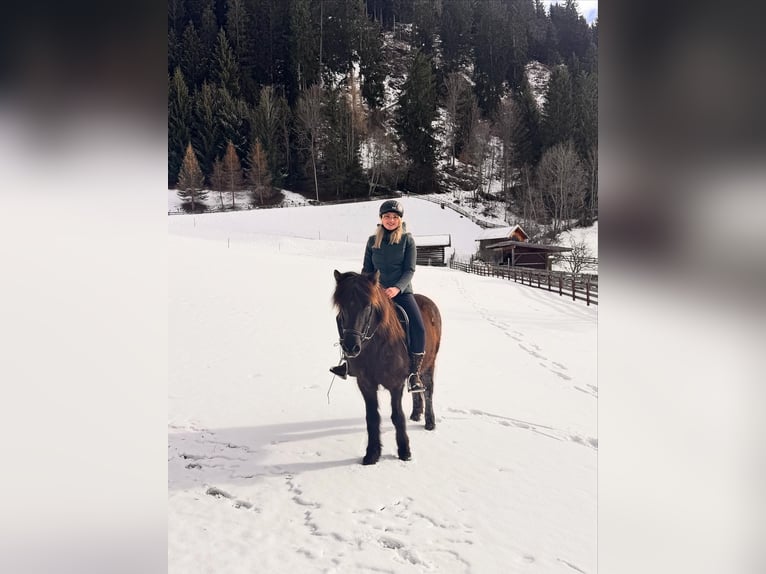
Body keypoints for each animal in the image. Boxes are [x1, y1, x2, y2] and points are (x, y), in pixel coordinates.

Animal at [332, 270, 442, 465]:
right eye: (341, 306)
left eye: (368, 306)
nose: (351, 347)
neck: (376, 346)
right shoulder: (365, 384)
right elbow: (372, 417)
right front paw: (372, 453)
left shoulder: (395, 384)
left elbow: (397, 416)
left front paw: (404, 451)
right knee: (416, 388)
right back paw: (416, 414)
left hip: (429, 364)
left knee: (428, 389)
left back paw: (430, 422)